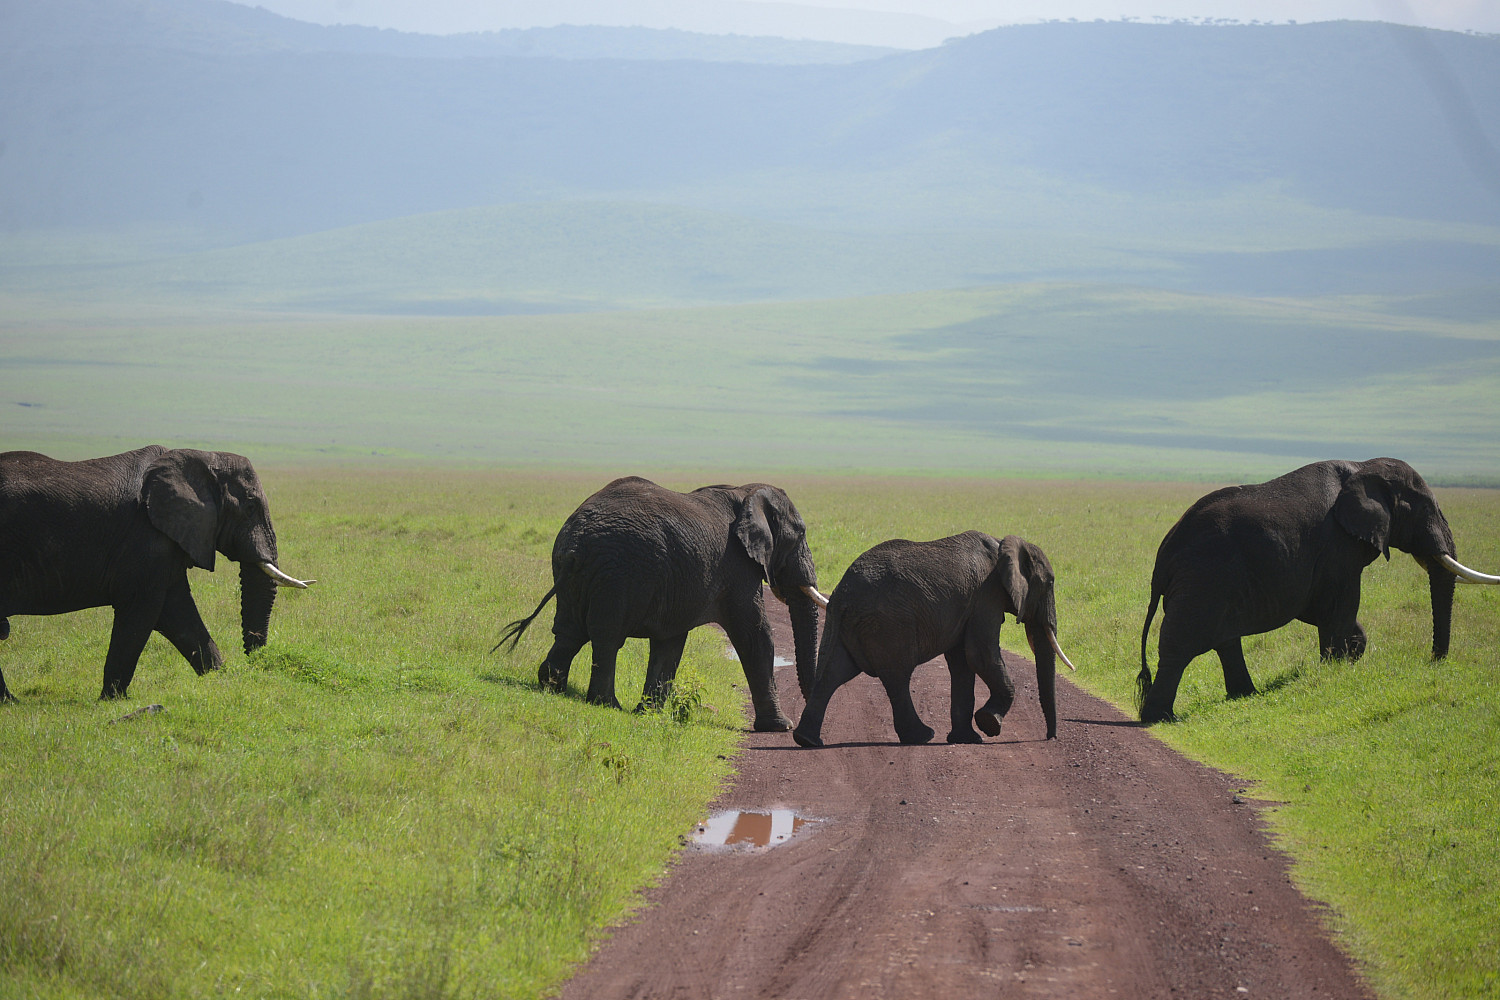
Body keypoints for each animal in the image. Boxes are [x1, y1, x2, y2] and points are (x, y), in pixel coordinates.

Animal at [0, 446, 314, 701]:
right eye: (249, 507)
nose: (257, 665)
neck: (202, 458)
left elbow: (179, 614)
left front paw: (219, 681)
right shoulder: (145, 538)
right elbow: (144, 612)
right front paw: (111, 701)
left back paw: (11, 702)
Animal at [498, 476, 829, 731]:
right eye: (800, 534)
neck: (745, 490)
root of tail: (578, 539)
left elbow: (670, 645)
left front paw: (649, 714)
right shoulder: (738, 567)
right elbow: (755, 636)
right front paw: (780, 727)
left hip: (573, 571)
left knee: (569, 632)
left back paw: (551, 686)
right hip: (619, 572)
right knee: (606, 638)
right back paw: (607, 705)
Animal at [792, 531, 1076, 748]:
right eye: (1050, 583)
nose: (1050, 738)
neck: (1003, 542)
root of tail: (844, 593)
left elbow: (962, 663)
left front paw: (967, 739)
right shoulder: (986, 595)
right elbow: (980, 655)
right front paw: (989, 724)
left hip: (843, 623)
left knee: (832, 674)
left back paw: (807, 740)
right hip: (889, 625)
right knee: (897, 677)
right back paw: (922, 736)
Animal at [1137, 457, 1499, 723]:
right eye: (1425, 508)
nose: (1434, 661)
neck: (1362, 467)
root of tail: (1162, 557)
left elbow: (1318, 608)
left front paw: (1349, 655)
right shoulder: (1338, 545)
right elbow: (1340, 603)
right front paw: (1337, 666)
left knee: (1226, 642)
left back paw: (1246, 696)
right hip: (1202, 580)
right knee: (1180, 647)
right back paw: (1162, 719)